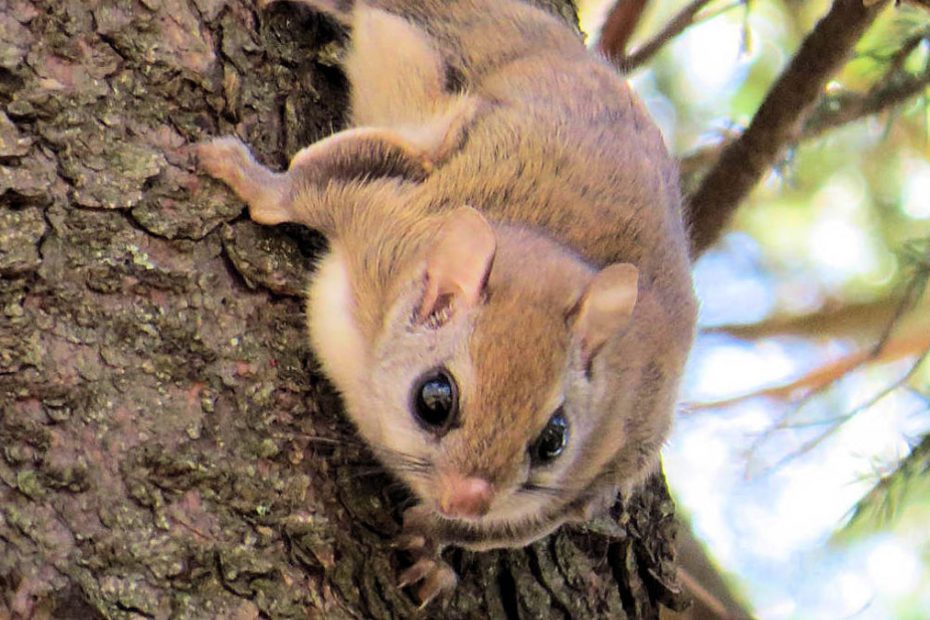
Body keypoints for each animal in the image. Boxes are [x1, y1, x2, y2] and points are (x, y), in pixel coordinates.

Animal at [201, 0, 696, 604]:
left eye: (554, 441)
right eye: (433, 399)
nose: (469, 498)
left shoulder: (598, 469)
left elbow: (498, 528)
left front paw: (430, 547)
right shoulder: (381, 219)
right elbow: (301, 192)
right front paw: (243, 175)